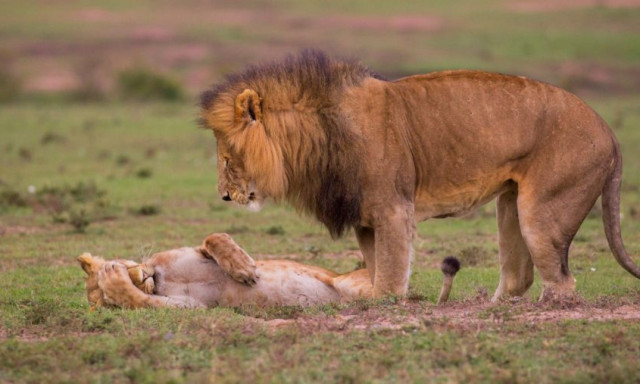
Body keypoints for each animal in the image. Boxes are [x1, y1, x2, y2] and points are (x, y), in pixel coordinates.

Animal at [202, 50, 640, 300]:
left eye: (226, 156)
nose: (223, 196)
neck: (318, 136)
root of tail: (608, 131)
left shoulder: (394, 209)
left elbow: (390, 276)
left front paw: (386, 302)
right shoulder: (364, 220)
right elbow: (376, 268)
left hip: (543, 209)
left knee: (563, 284)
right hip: (511, 204)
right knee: (518, 277)